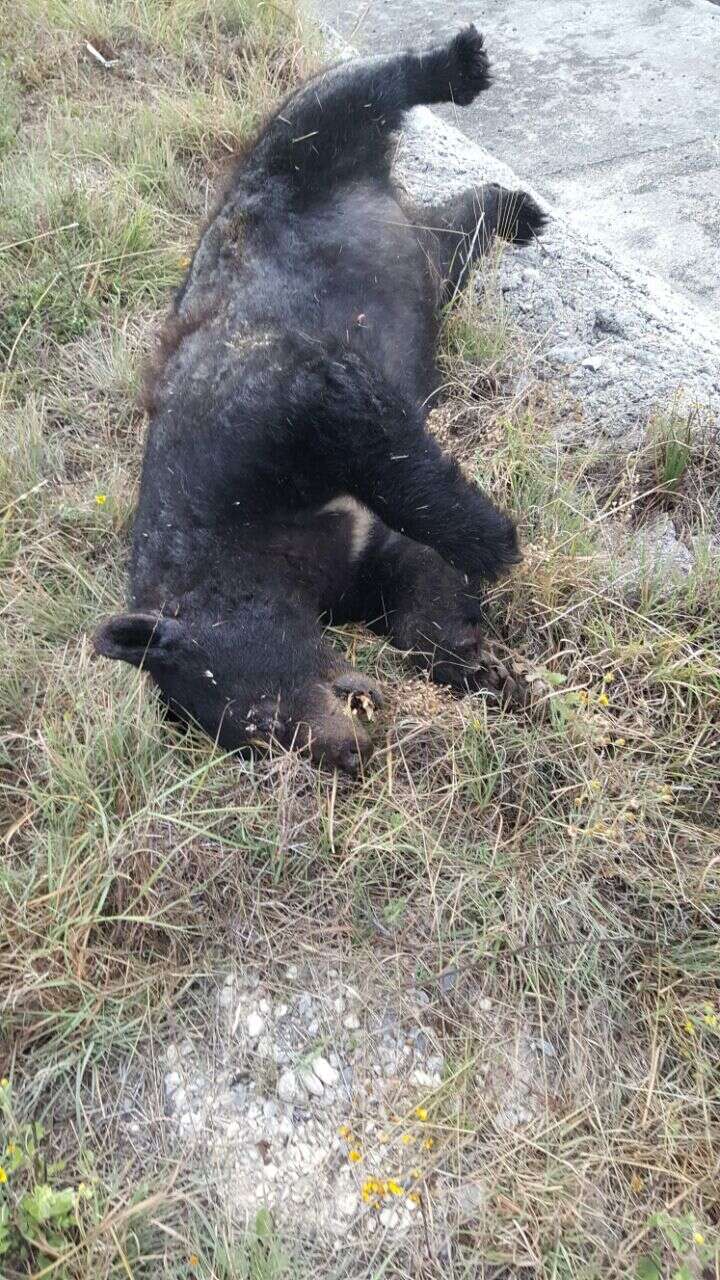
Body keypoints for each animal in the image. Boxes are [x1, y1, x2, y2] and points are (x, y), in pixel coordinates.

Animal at [94, 27, 543, 768]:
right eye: (256, 740)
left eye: (261, 711)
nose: (346, 751)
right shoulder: (341, 557)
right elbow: (408, 575)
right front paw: (479, 663)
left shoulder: (245, 430)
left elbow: (353, 422)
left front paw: (491, 541)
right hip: (427, 259)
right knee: (455, 231)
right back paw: (517, 210)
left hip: (294, 159)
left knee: (343, 97)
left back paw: (458, 65)